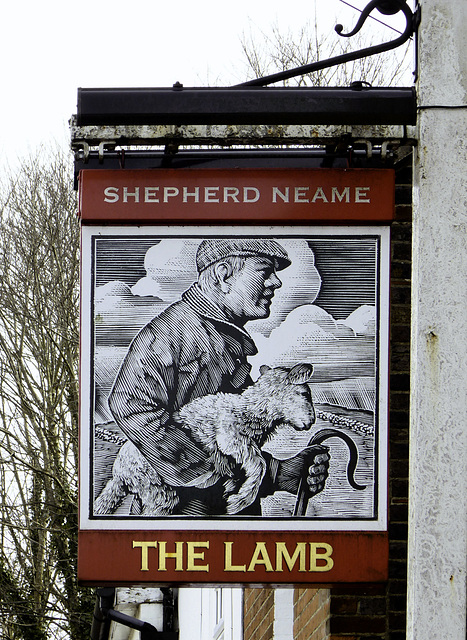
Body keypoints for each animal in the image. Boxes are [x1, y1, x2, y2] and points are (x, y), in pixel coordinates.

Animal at [93, 362, 316, 516]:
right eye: (304, 393)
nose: (311, 421)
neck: (248, 411)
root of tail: (119, 473)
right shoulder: (231, 440)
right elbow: (260, 465)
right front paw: (240, 501)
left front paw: (232, 493)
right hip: (157, 491)